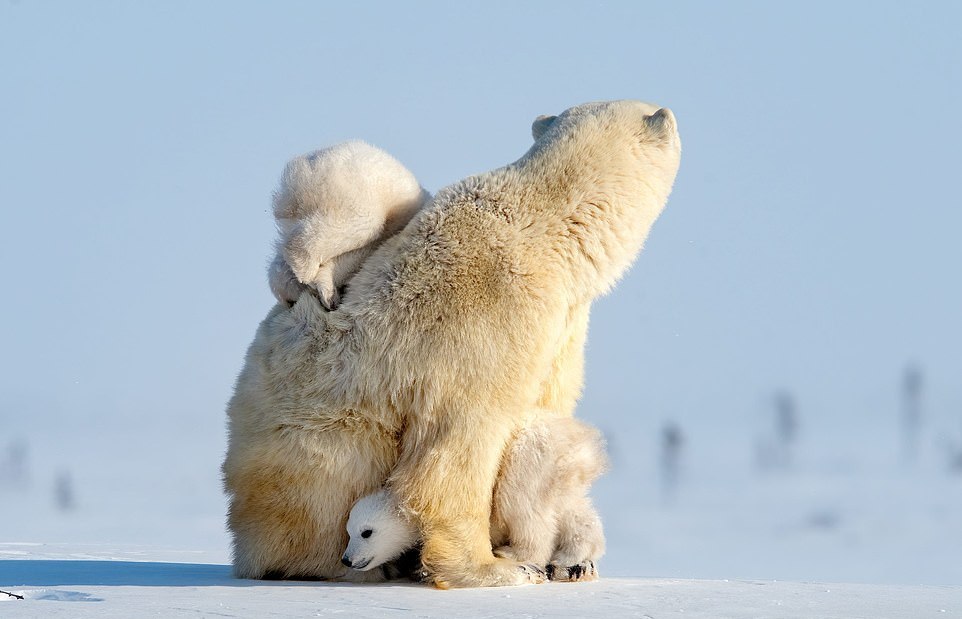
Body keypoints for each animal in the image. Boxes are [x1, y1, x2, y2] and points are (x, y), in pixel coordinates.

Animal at [221, 99, 680, 588]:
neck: (551, 230)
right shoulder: (491, 315)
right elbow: (459, 440)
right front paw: (496, 568)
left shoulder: (564, 325)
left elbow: (547, 419)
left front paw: (571, 559)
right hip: (323, 441)